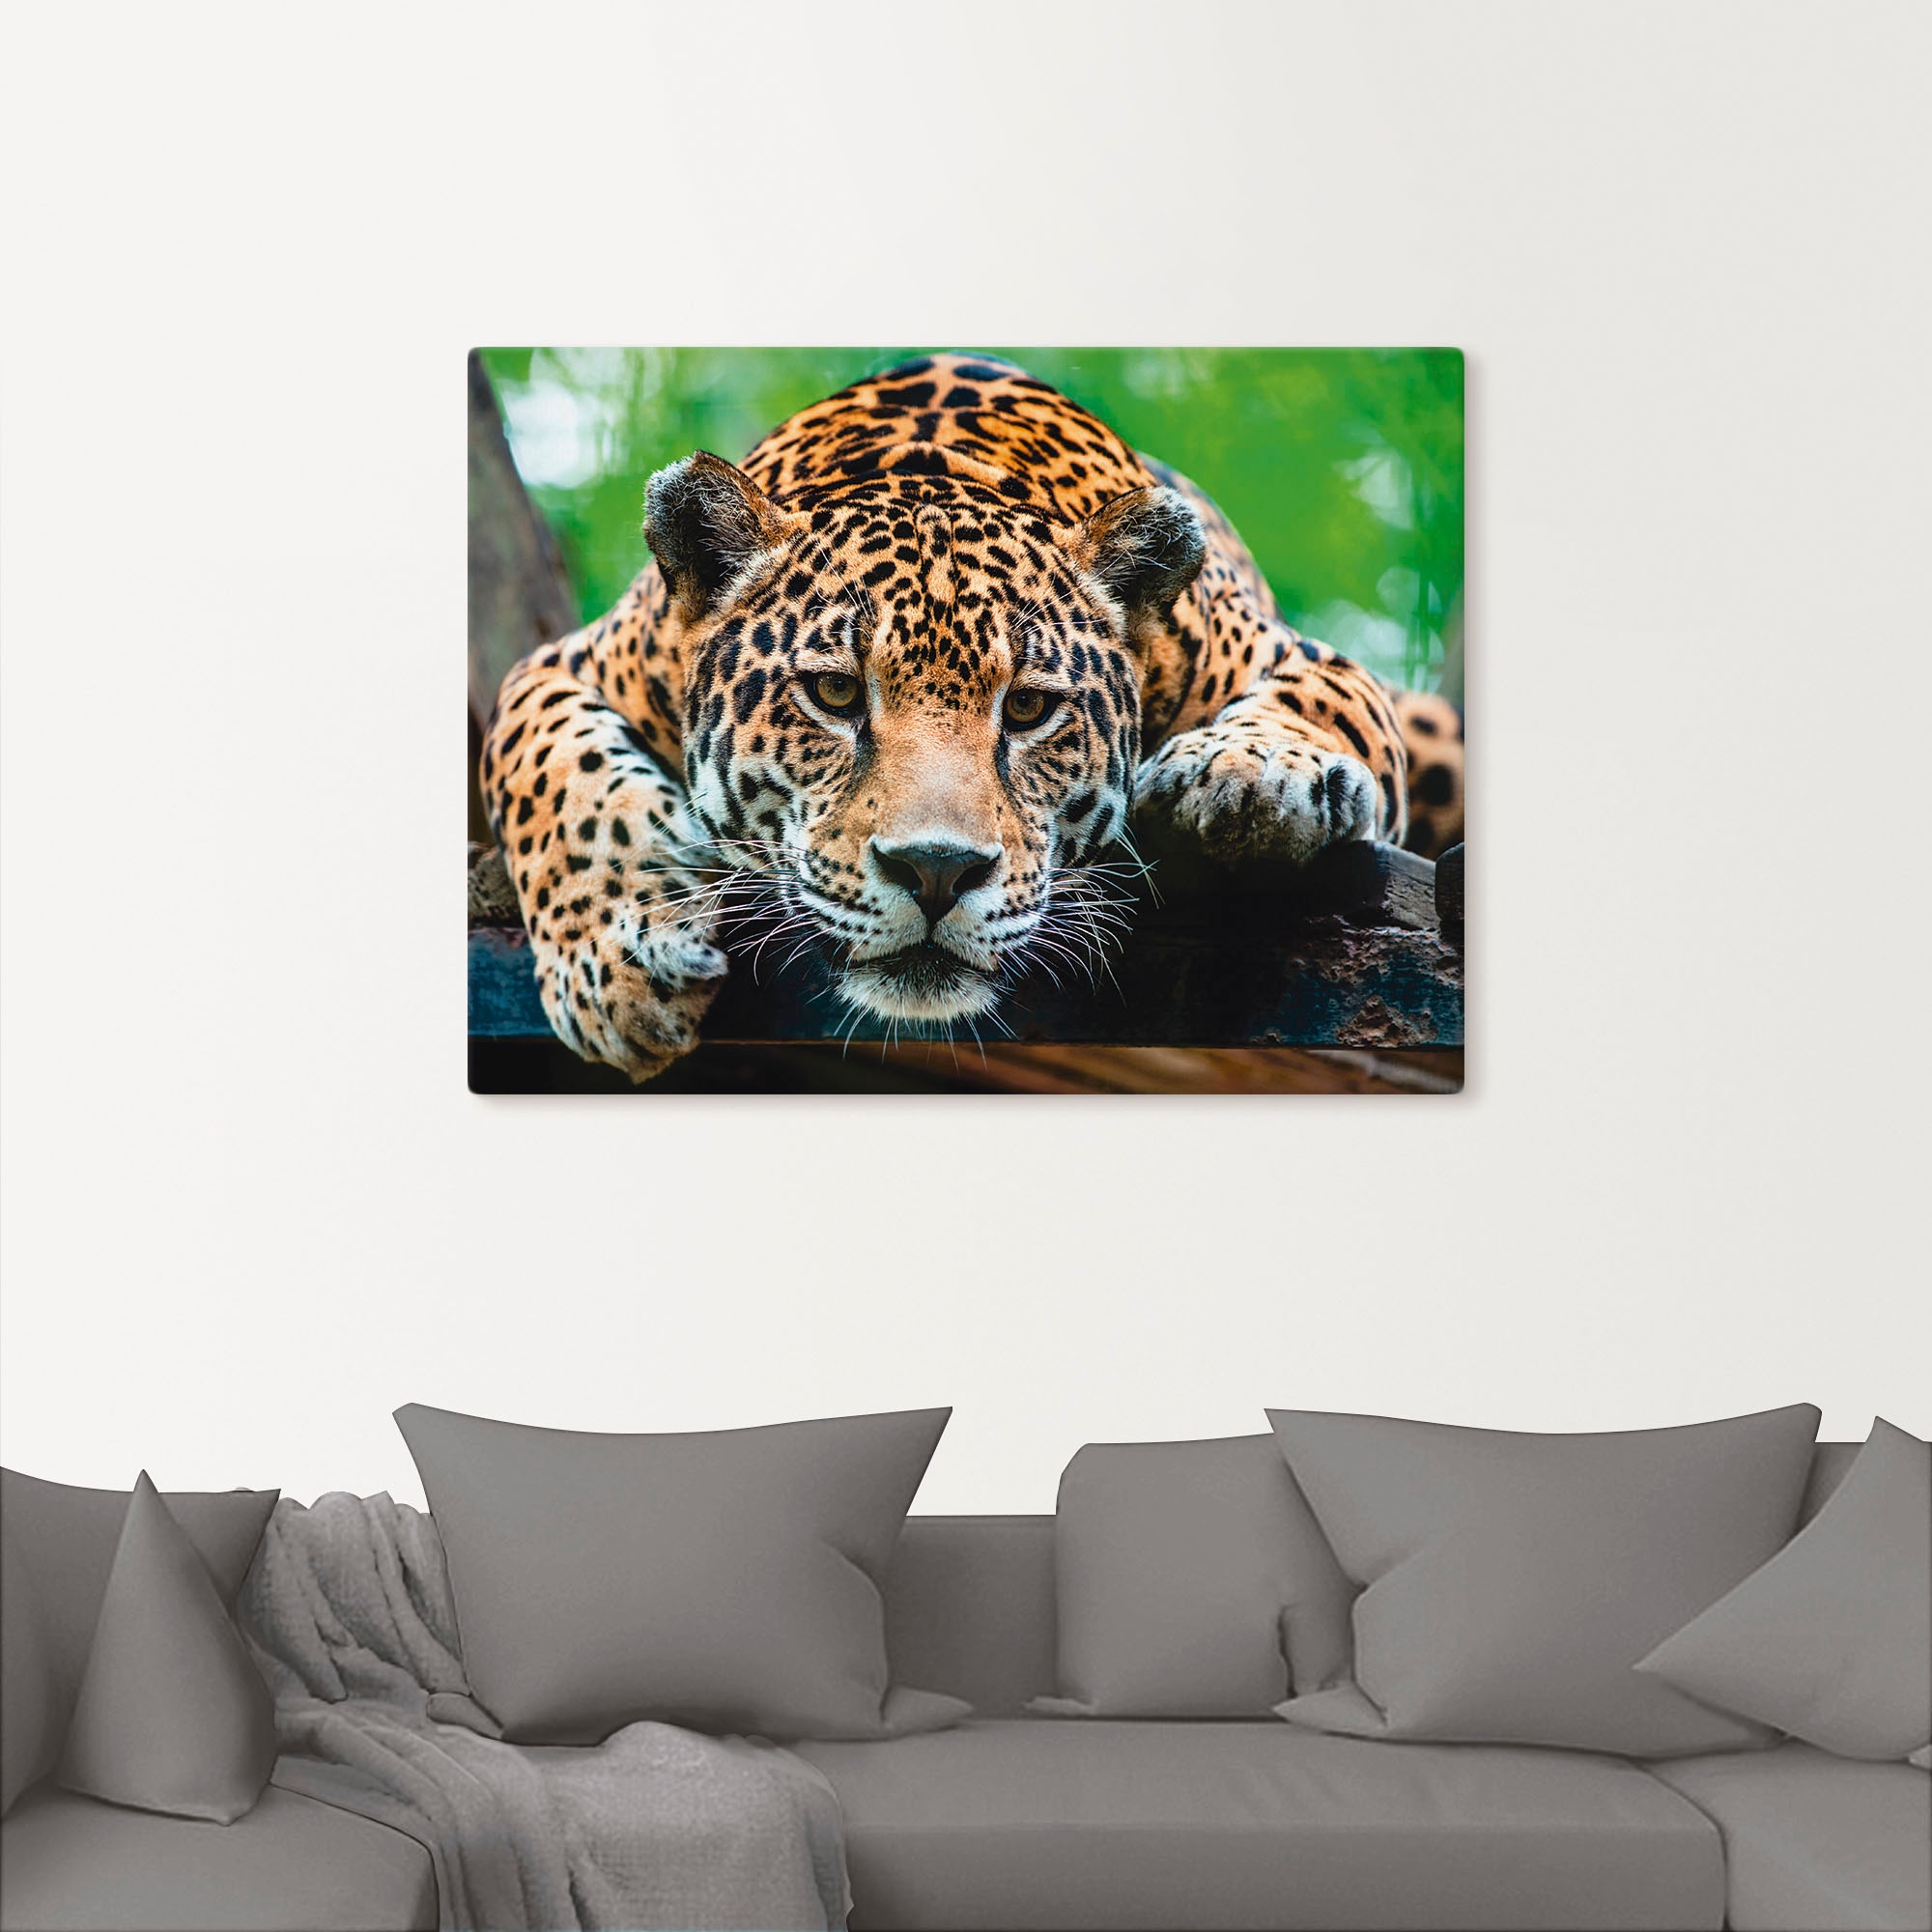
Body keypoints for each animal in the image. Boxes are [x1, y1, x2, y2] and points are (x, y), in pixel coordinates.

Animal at [478, 354, 1465, 1081]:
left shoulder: (1298, 656)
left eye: (1028, 708)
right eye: (835, 695)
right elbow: (554, 775)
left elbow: (1322, 703)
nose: (936, 872)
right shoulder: (564, 664)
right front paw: (617, 965)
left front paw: (1250, 774)